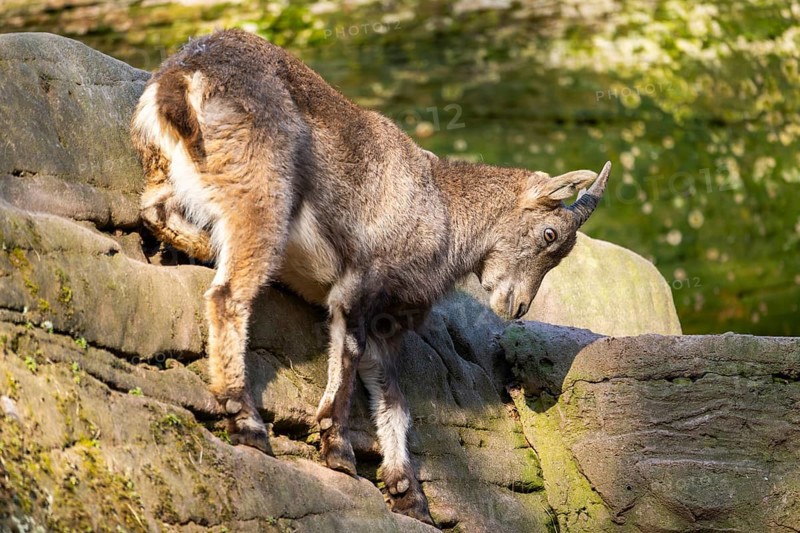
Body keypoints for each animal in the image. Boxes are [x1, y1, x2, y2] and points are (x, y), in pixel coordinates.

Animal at [130, 28, 610, 525]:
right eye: (550, 234)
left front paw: (407, 492)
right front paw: (338, 450)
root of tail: (184, 74)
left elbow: (395, 400)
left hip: (168, 171)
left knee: (153, 210)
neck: (442, 209)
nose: (517, 308)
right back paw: (246, 420)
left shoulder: (387, 323)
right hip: (261, 193)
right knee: (227, 295)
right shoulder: (360, 284)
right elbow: (348, 355)